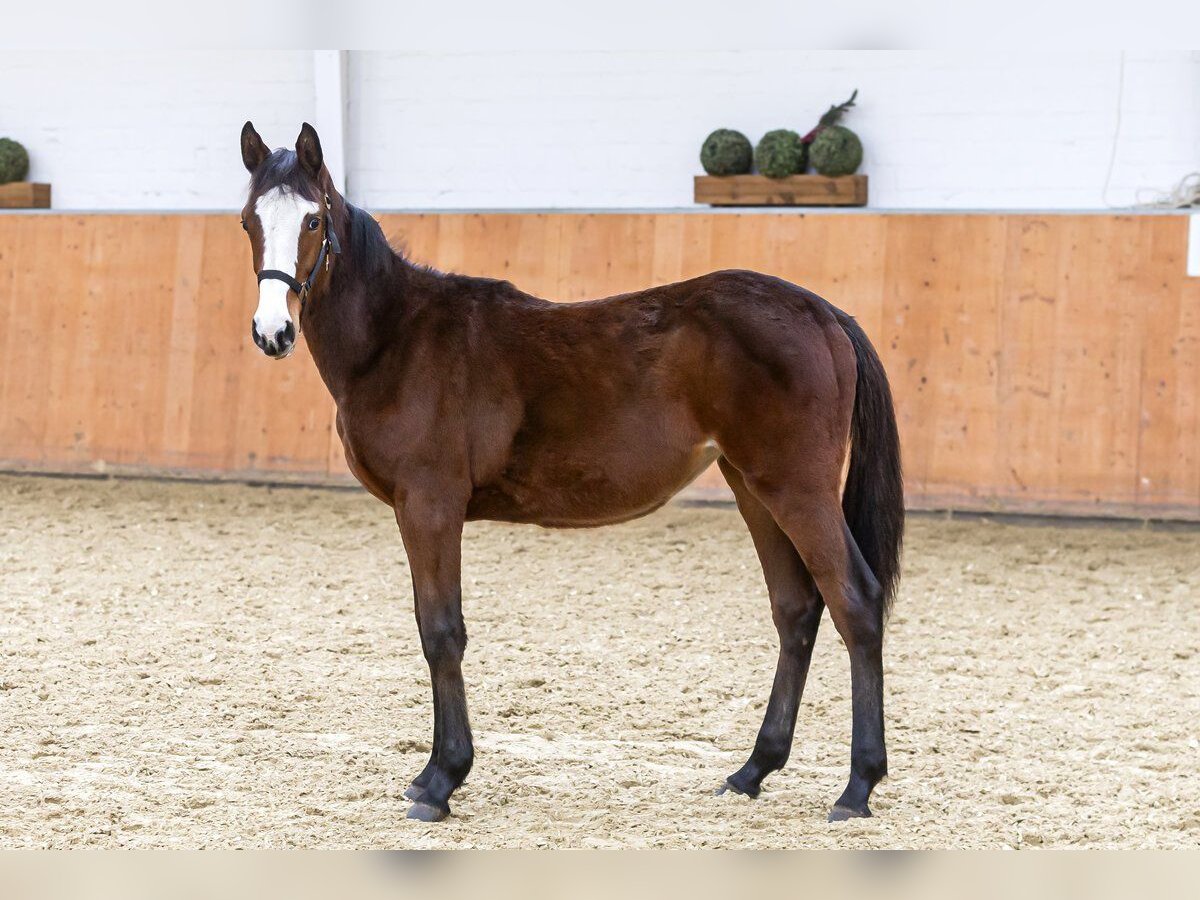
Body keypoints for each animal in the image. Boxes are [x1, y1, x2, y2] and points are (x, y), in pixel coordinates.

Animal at [238, 123, 902, 830]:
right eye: (250, 220)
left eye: (312, 220)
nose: (273, 331)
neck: (398, 340)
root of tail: (823, 313)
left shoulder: (429, 505)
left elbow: (441, 632)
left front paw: (441, 780)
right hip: (753, 487)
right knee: (796, 610)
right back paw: (752, 771)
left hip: (796, 490)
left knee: (855, 603)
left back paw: (857, 787)